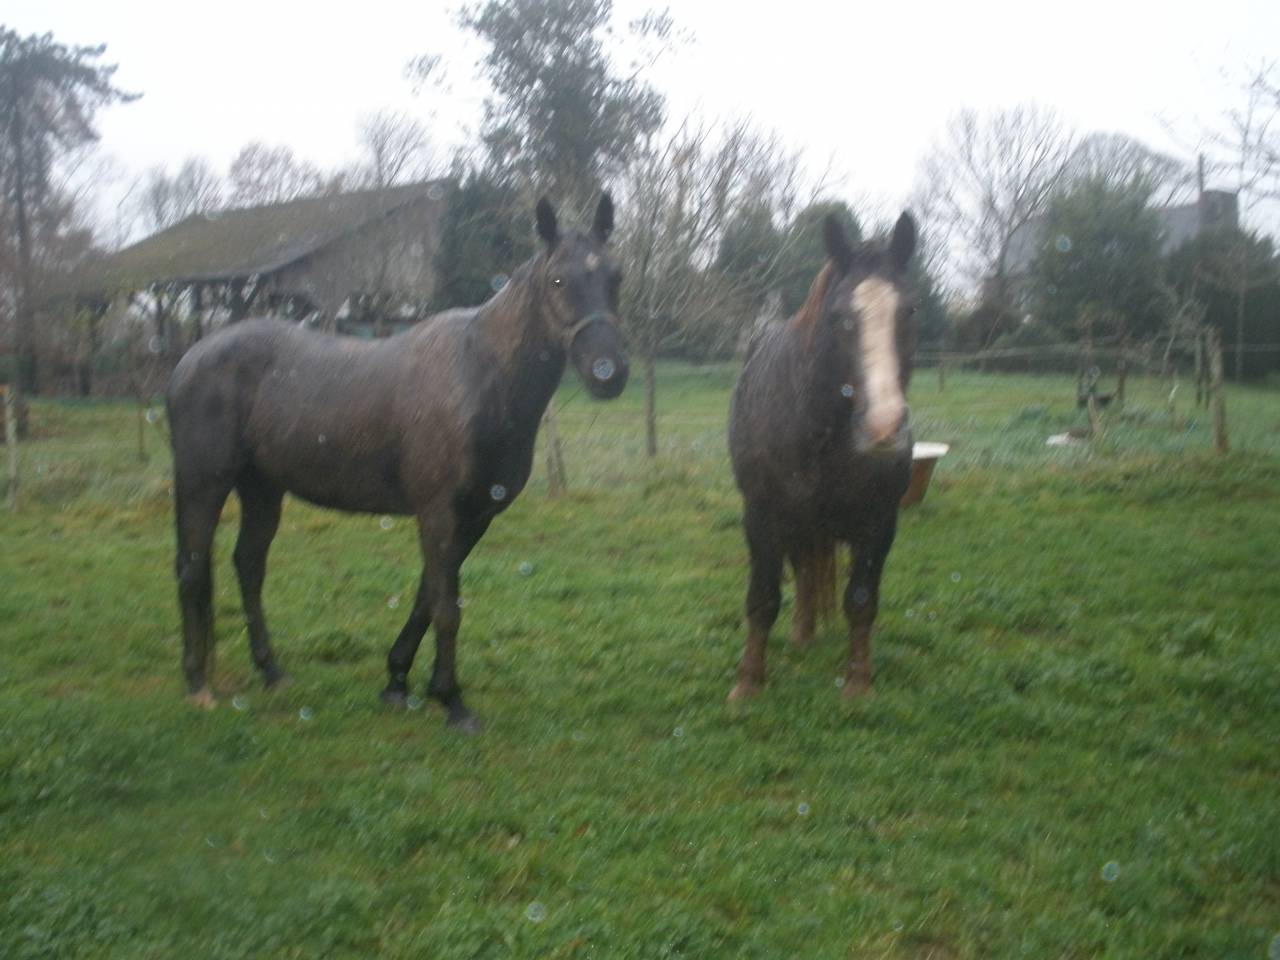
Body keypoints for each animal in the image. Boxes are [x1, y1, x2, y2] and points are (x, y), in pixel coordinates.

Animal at [165, 194, 628, 732]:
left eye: (615, 275)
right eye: (557, 280)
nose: (608, 372)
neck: (480, 376)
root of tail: (189, 360)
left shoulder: (476, 517)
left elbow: (428, 597)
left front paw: (399, 682)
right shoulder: (438, 512)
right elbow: (447, 607)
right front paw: (453, 702)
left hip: (262, 487)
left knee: (248, 565)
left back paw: (272, 671)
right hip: (204, 482)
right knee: (193, 569)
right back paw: (197, 684)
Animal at [726, 211, 917, 701]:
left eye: (909, 311)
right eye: (840, 318)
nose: (884, 427)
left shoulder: (879, 524)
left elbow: (861, 601)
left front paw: (859, 682)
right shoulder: (762, 518)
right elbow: (762, 599)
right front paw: (748, 682)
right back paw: (800, 633)